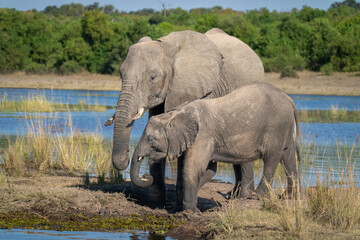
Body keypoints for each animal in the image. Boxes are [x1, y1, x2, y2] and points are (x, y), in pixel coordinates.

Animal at [107, 28, 264, 207]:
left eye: (152, 77)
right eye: (121, 74)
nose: (146, 177)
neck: (167, 48)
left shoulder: (200, 90)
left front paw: (179, 202)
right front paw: (156, 203)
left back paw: (243, 197)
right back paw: (233, 195)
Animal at [131, 83, 300, 212]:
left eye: (151, 139)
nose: (146, 176)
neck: (175, 114)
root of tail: (290, 100)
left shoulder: (202, 136)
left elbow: (193, 169)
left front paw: (190, 212)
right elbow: (210, 170)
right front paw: (187, 207)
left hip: (276, 126)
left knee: (271, 159)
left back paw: (257, 196)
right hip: (284, 127)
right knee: (288, 157)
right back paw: (289, 196)